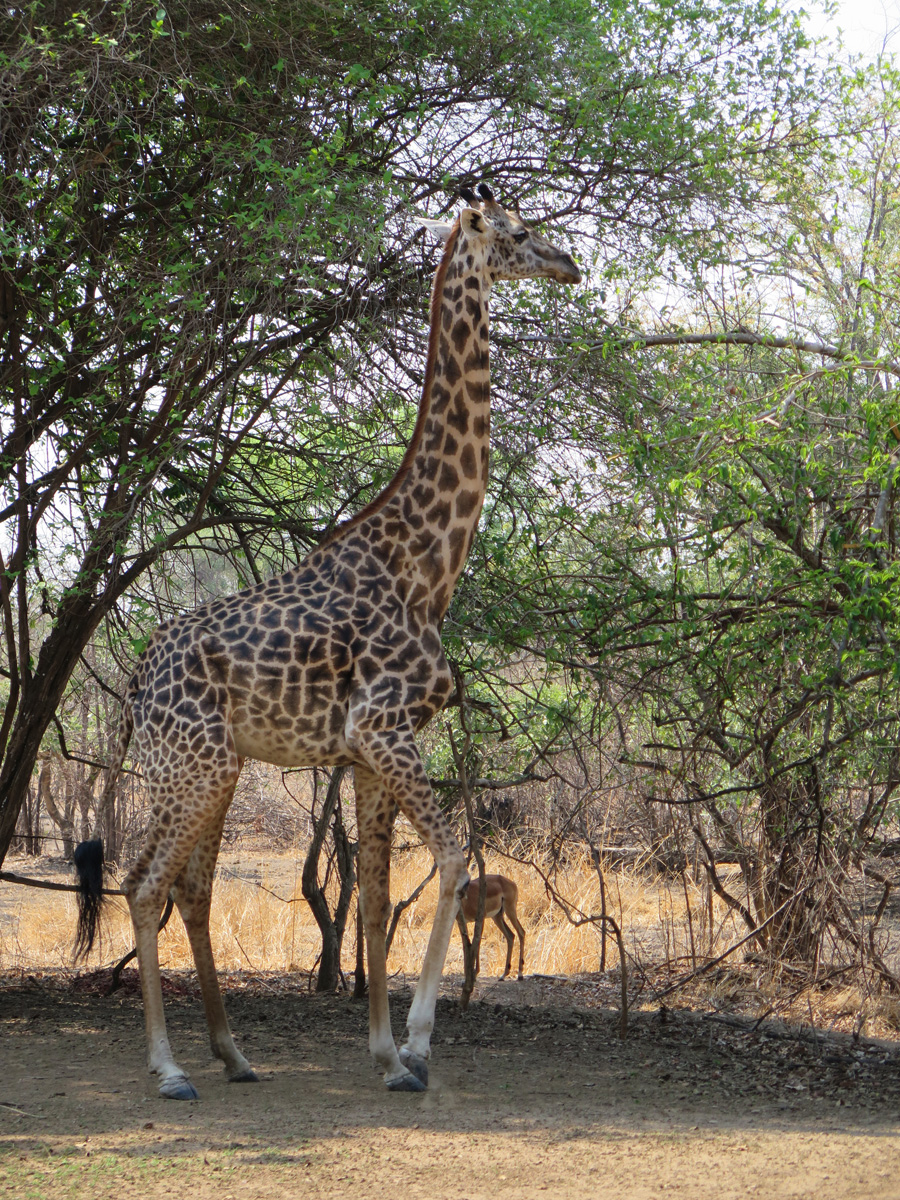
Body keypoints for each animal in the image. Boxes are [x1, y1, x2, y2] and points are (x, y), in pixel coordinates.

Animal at [74, 183, 580, 1099]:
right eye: (521, 233)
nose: (570, 263)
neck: (427, 566)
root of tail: (136, 680)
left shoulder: (372, 751)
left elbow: (377, 898)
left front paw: (385, 1054)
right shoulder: (382, 728)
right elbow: (452, 857)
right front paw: (418, 1045)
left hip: (211, 769)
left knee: (183, 887)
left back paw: (234, 1055)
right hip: (191, 766)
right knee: (144, 883)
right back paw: (171, 1069)